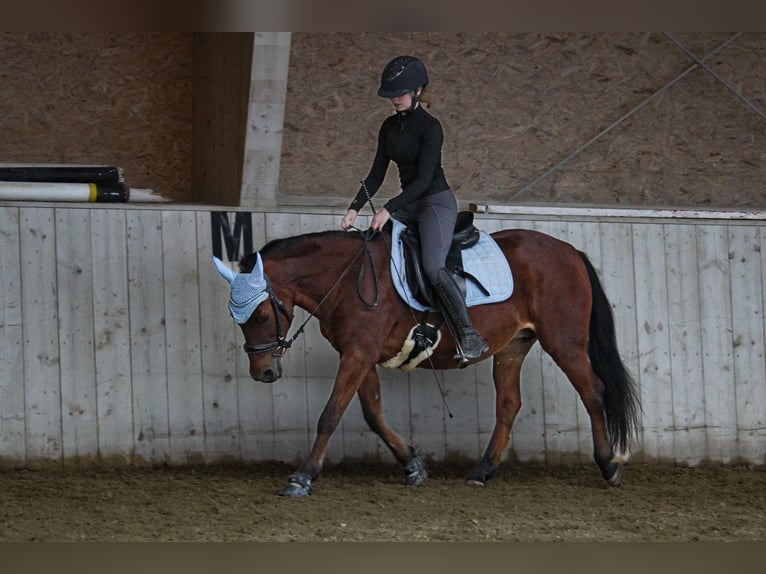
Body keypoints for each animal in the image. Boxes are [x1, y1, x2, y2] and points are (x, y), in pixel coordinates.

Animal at [213, 220, 640, 497]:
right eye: (235, 317)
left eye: (262, 315)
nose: (264, 372)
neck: (348, 278)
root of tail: (568, 251)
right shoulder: (360, 353)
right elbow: (373, 414)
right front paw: (413, 465)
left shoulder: (358, 353)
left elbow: (330, 414)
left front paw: (302, 478)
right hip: (514, 345)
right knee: (509, 404)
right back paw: (483, 471)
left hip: (564, 340)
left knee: (594, 392)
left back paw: (609, 465)